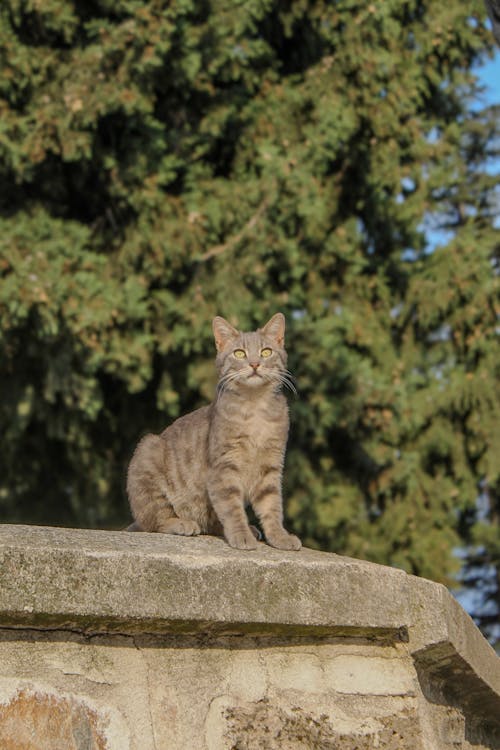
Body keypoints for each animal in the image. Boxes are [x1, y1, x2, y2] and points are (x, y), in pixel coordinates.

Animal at [127, 312, 302, 552]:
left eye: (266, 351)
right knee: (155, 520)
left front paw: (279, 536)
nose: (255, 364)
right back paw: (181, 523)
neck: (254, 408)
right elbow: (232, 508)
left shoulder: (270, 467)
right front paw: (241, 535)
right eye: (239, 353)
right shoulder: (224, 468)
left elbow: (272, 506)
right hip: (147, 452)